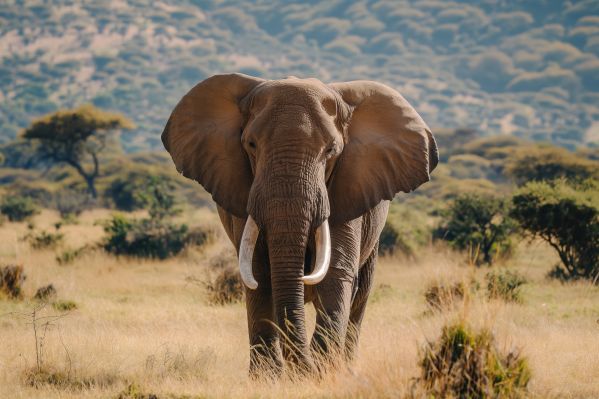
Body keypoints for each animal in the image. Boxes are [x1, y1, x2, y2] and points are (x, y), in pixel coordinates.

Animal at [162, 72, 438, 378]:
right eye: (251, 145)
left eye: (331, 150)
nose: (305, 370)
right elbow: (258, 273)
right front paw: (268, 379)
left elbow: (335, 274)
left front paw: (321, 373)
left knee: (361, 294)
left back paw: (347, 368)